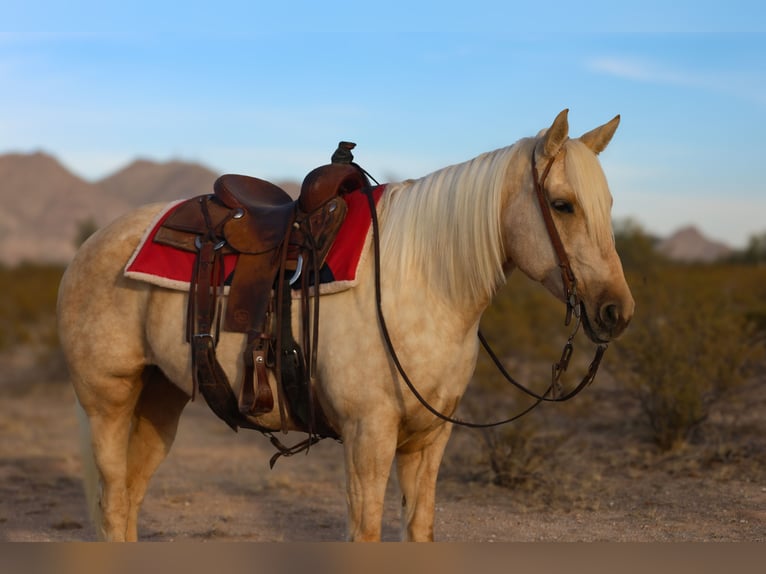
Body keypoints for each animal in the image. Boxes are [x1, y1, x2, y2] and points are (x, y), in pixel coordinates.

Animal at [57, 110, 636, 544]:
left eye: (609, 204)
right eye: (562, 205)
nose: (617, 312)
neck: (422, 280)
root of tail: (90, 246)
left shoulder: (429, 440)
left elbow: (419, 530)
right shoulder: (367, 436)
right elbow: (367, 533)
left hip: (160, 399)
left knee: (129, 498)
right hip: (107, 400)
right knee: (112, 501)